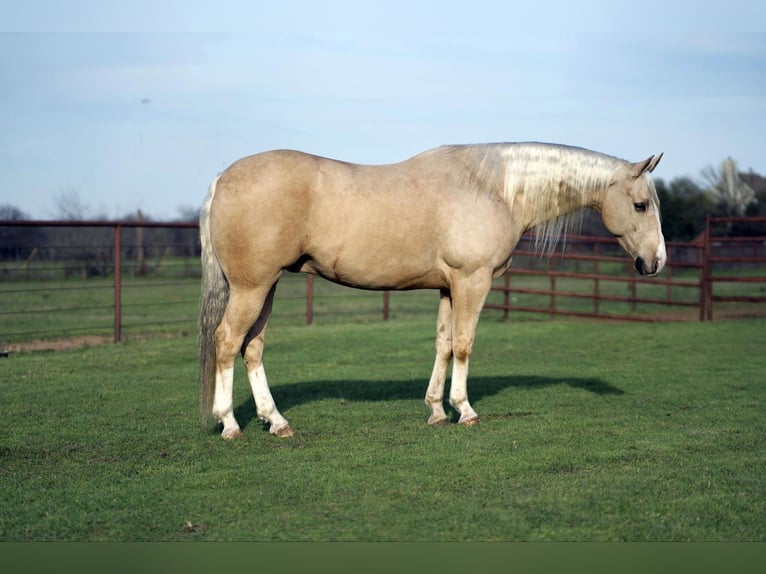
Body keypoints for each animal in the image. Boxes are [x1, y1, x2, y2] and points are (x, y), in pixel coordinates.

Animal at [200, 144, 664, 440]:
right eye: (640, 205)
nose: (656, 261)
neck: (491, 189)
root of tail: (221, 178)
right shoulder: (472, 281)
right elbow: (464, 344)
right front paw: (465, 410)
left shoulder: (448, 287)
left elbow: (443, 344)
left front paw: (438, 411)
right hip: (252, 287)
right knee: (227, 341)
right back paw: (230, 424)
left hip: (267, 286)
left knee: (252, 348)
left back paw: (276, 421)